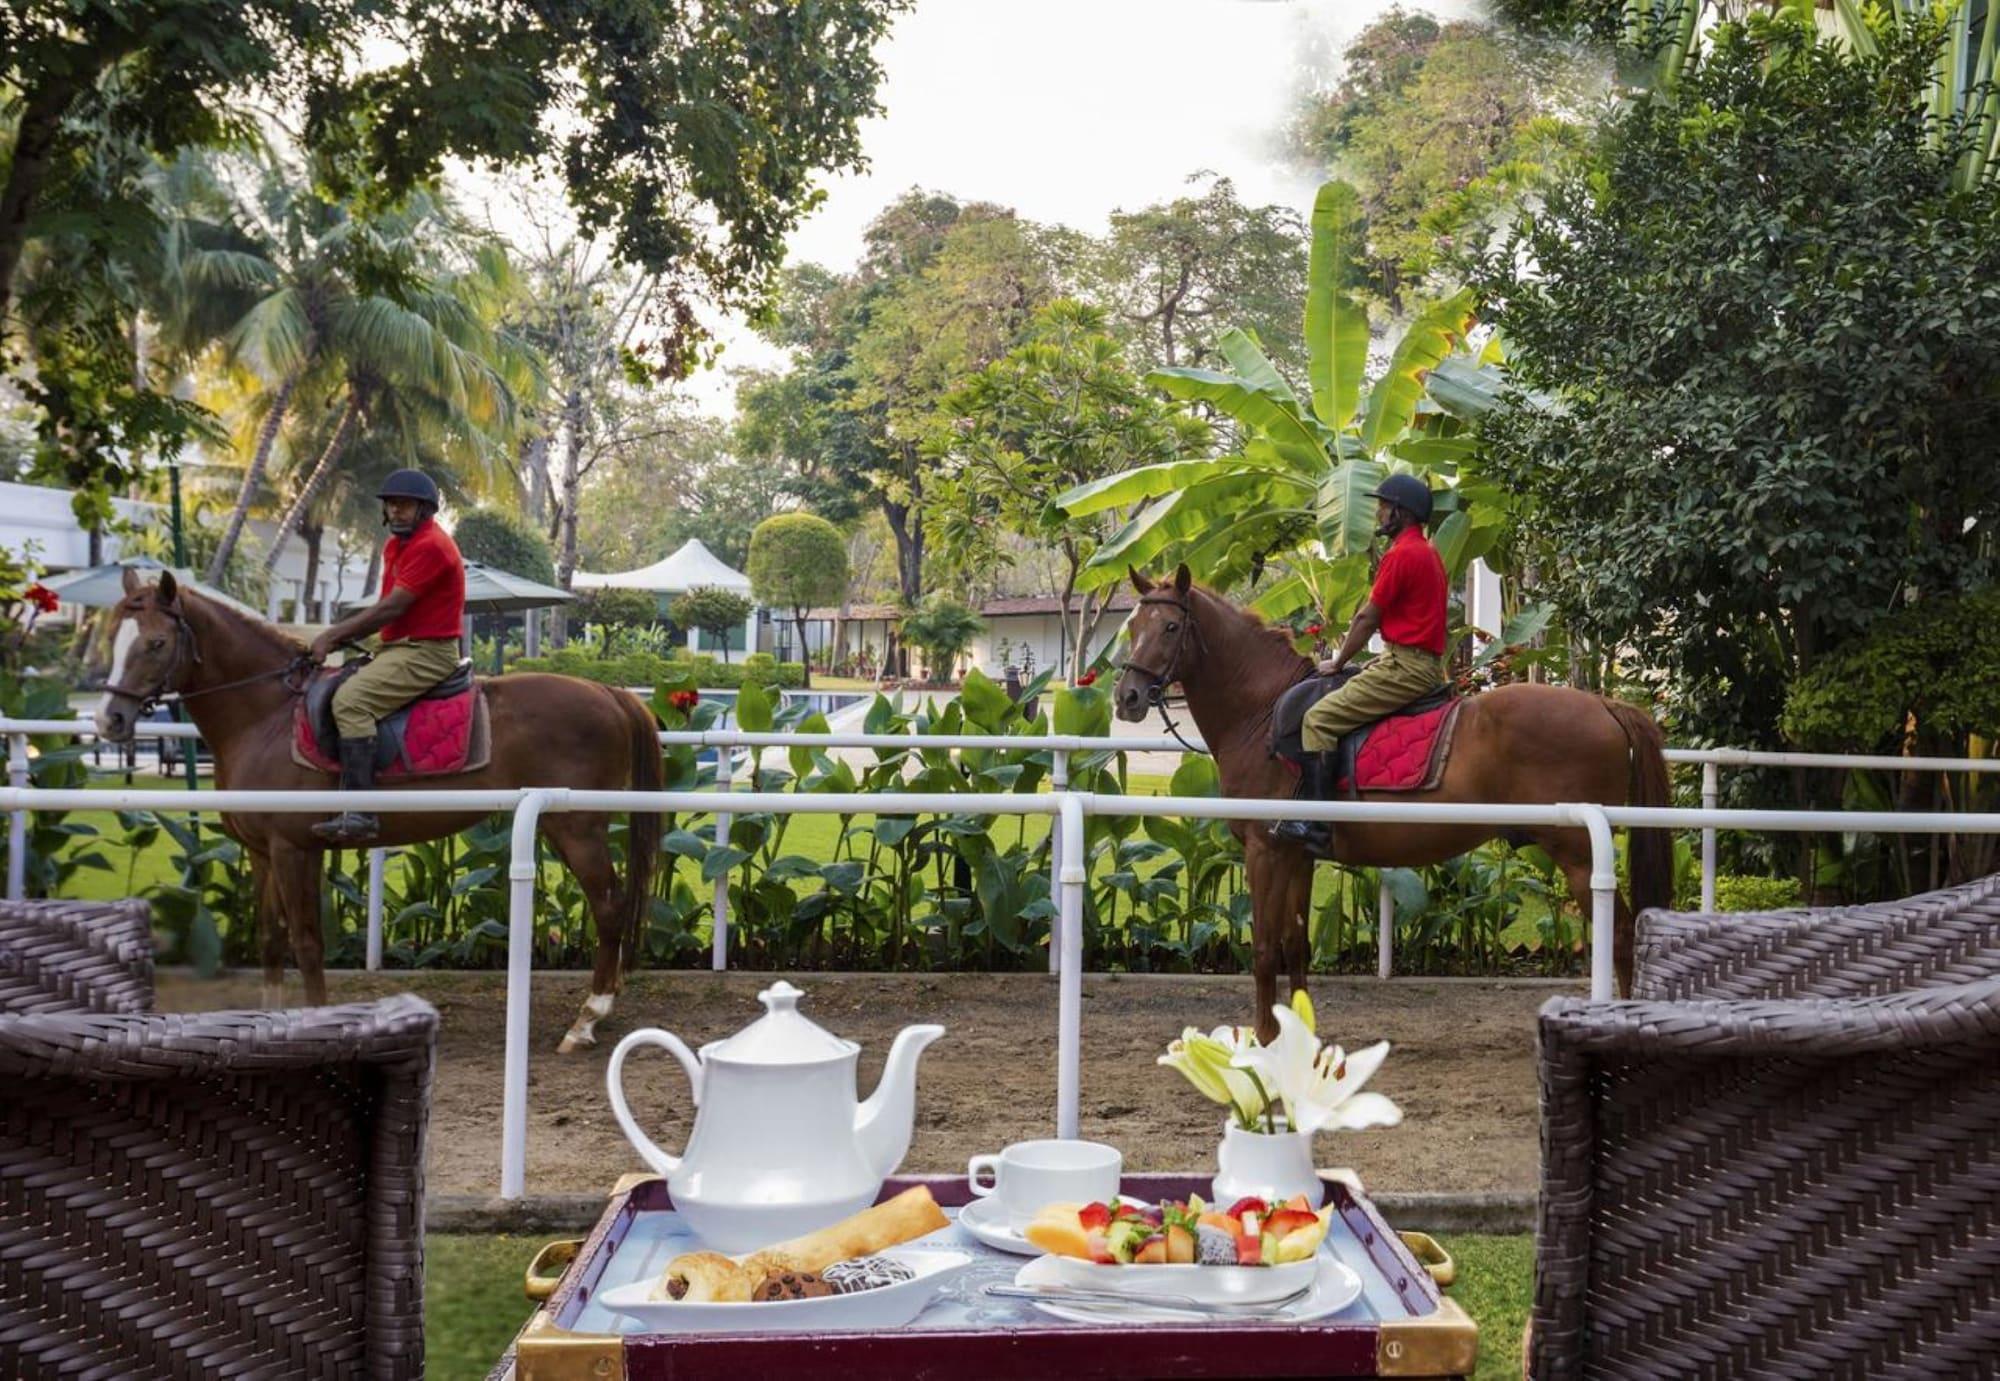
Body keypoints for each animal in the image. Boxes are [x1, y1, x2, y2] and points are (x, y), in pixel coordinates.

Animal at [94, 568, 660, 1040]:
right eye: (112, 637)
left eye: (156, 642)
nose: (109, 720)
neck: (267, 716)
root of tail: (608, 692)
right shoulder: (261, 852)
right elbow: (272, 939)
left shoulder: (294, 849)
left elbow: (307, 942)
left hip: (578, 829)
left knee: (609, 906)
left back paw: (588, 1017)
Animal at [1120, 560, 1664, 1032]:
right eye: (1131, 627)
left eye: (1170, 627)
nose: (1126, 697)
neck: (1264, 712)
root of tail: (1606, 704)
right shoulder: (1297, 854)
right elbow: (1295, 944)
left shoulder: (1265, 852)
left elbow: (1264, 950)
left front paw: (1266, 1039)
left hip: (1578, 855)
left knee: (1621, 937)